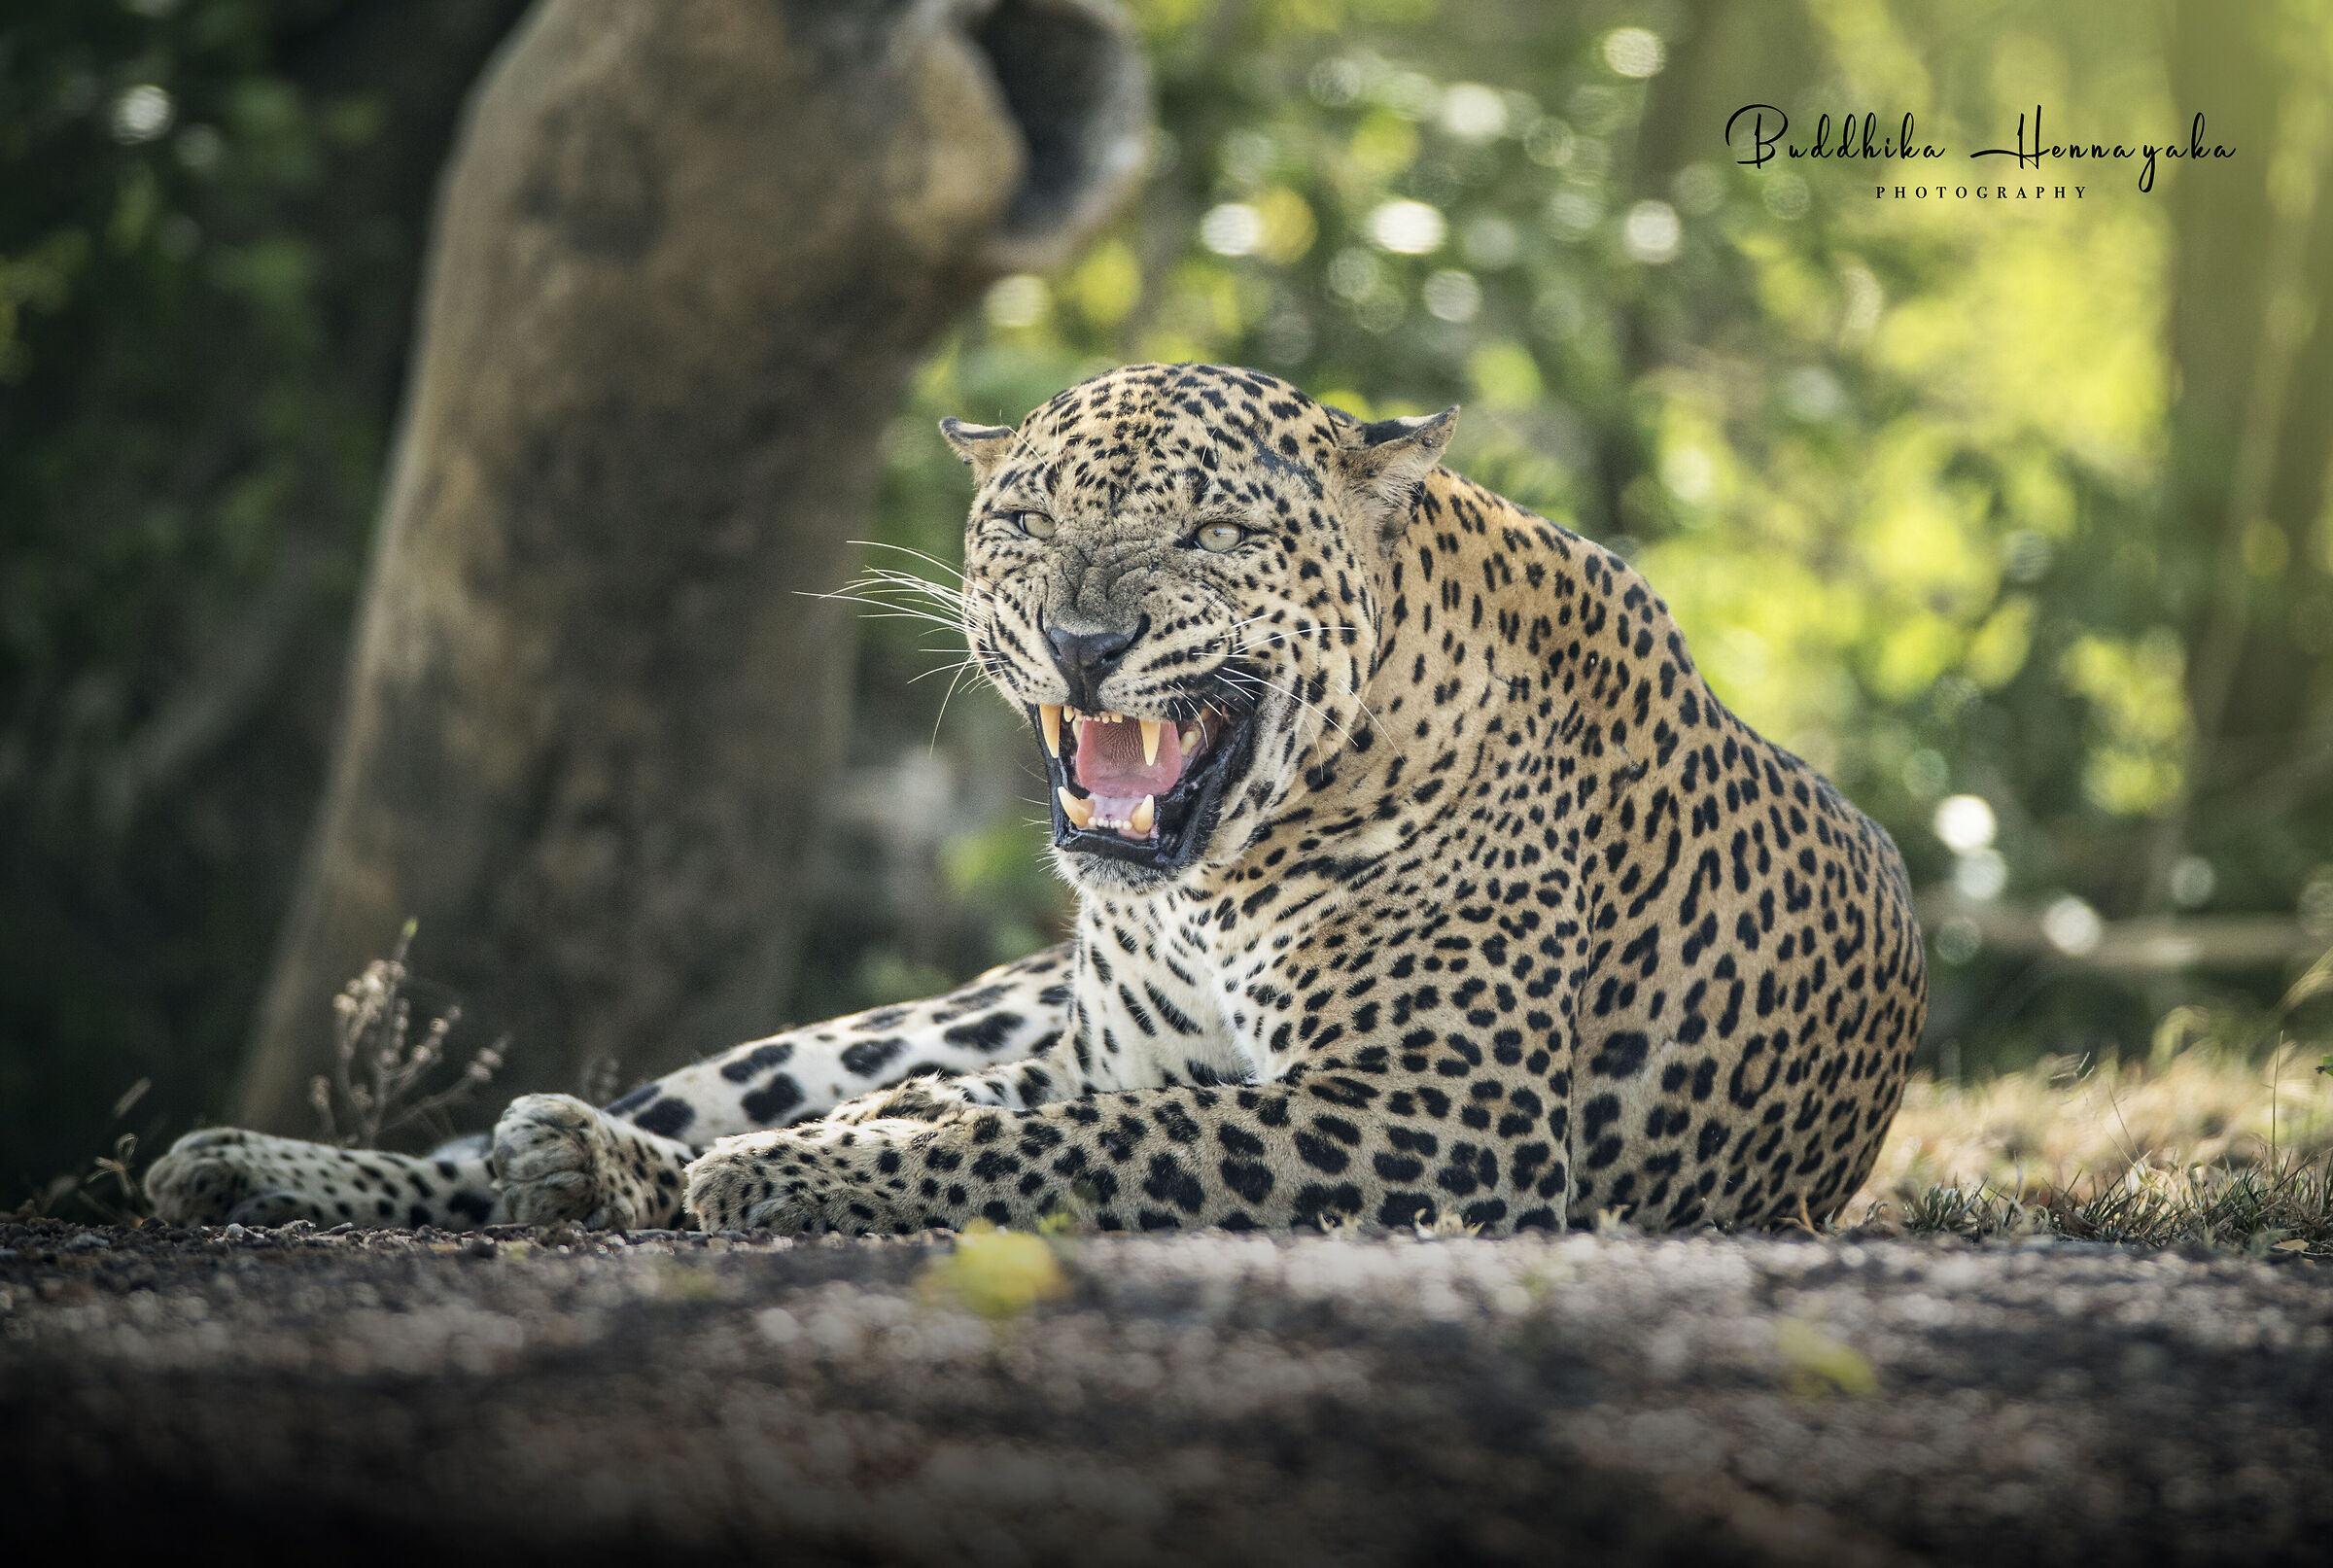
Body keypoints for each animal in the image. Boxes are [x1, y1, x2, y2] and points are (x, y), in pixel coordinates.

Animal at [148, 362, 1925, 1239]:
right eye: (1023, 517)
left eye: (1211, 529)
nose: (1082, 638)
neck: (1209, 886)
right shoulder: (1123, 1052)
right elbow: (1072, 1119)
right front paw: (812, 1159)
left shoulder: (1444, 1115)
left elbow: (1086, 1144)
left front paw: (818, 1178)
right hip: (921, 1014)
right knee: (623, 1116)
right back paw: (284, 1167)